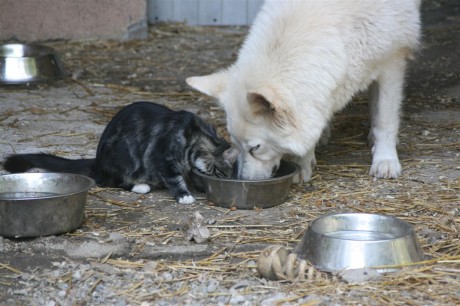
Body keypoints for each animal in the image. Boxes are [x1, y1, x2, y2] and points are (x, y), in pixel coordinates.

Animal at [187, 0, 420, 182]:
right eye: (235, 145)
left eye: (255, 148)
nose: (243, 180)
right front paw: (304, 164)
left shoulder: (392, 63)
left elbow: (385, 120)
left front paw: (385, 160)